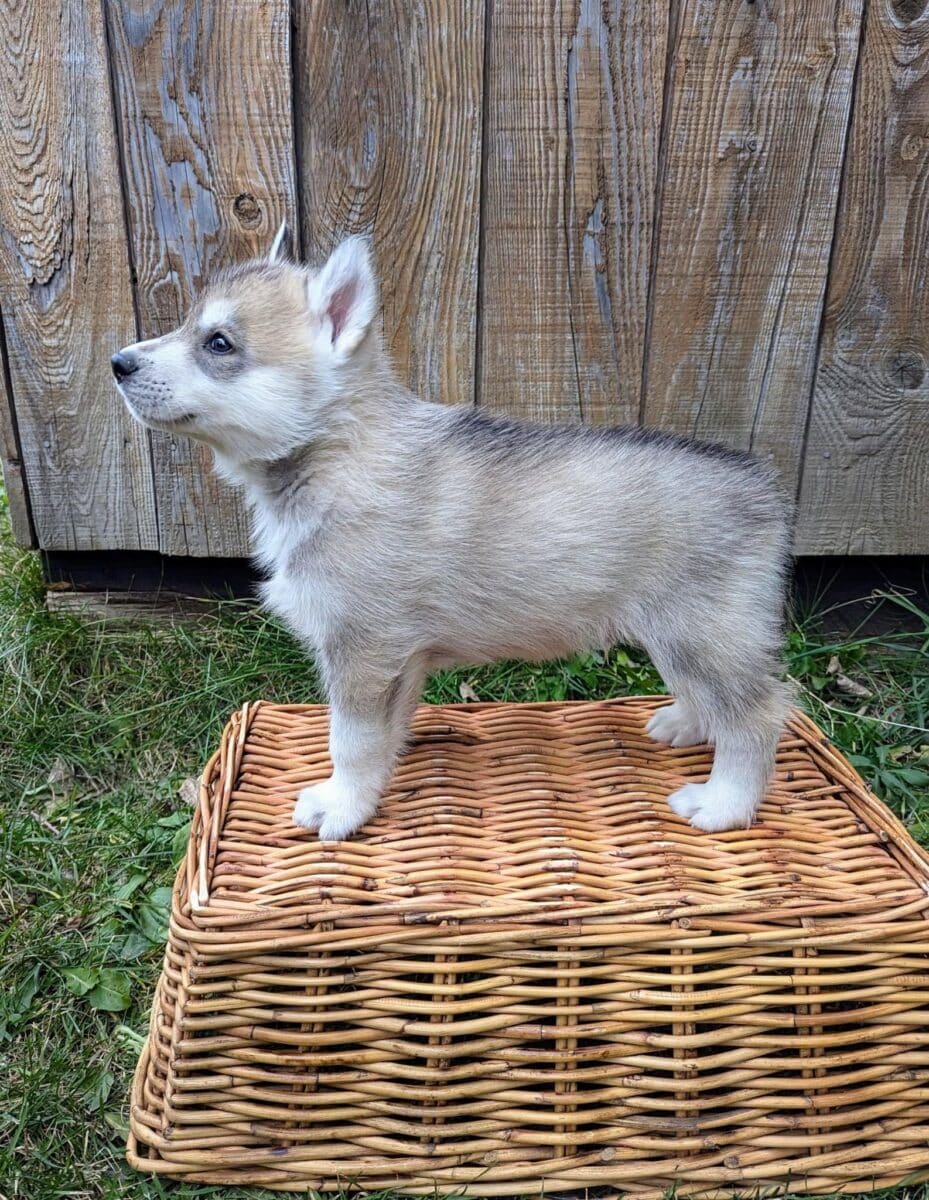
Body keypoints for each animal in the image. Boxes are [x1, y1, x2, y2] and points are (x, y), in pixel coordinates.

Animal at [111, 226, 792, 844]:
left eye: (219, 342)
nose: (119, 363)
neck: (337, 456)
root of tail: (764, 486)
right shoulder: (397, 661)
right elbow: (382, 736)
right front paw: (369, 790)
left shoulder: (363, 652)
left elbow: (348, 741)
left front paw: (341, 808)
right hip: (679, 638)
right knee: (714, 699)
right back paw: (685, 724)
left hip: (699, 634)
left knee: (761, 714)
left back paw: (725, 804)